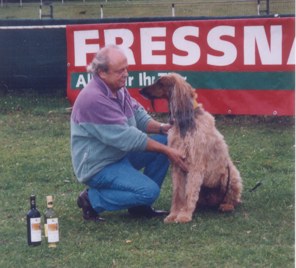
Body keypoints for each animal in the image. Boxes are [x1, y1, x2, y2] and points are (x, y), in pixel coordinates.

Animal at [140, 72, 243, 223]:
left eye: (160, 83)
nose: (140, 91)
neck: (186, 121)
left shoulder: (195, 165)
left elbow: (189, 192)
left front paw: (184, 215)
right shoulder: (177, 164)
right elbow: (178, 193)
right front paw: (173, 214)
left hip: (231, 176)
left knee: (233, 199)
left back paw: (226, 205)